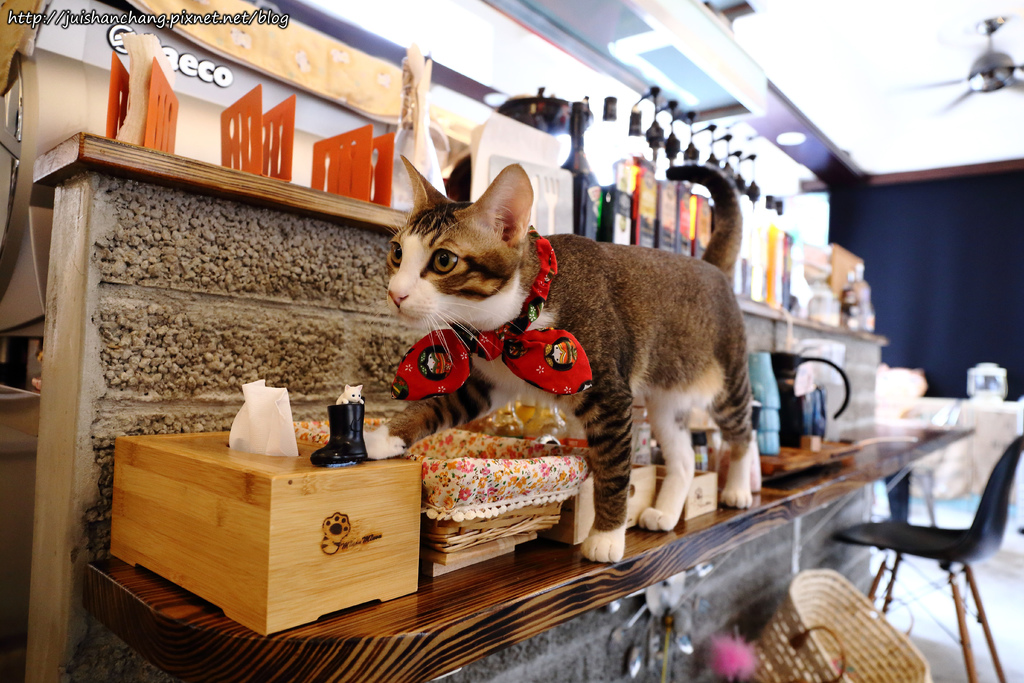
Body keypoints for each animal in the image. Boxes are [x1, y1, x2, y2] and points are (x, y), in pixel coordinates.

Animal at [366, 157, 754, 563]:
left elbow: (613, 469)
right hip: (666, 401)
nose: (395, 294)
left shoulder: (609, 395)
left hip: (727, 380)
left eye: (444, 260)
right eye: (397, 252)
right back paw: (664, 511)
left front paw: (606, 536)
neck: (513, 321)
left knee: (744, 431)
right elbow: (434, 405)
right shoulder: (485, 379)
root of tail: (711, 267)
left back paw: (738, 489)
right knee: (683, 458)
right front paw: (382, 437)